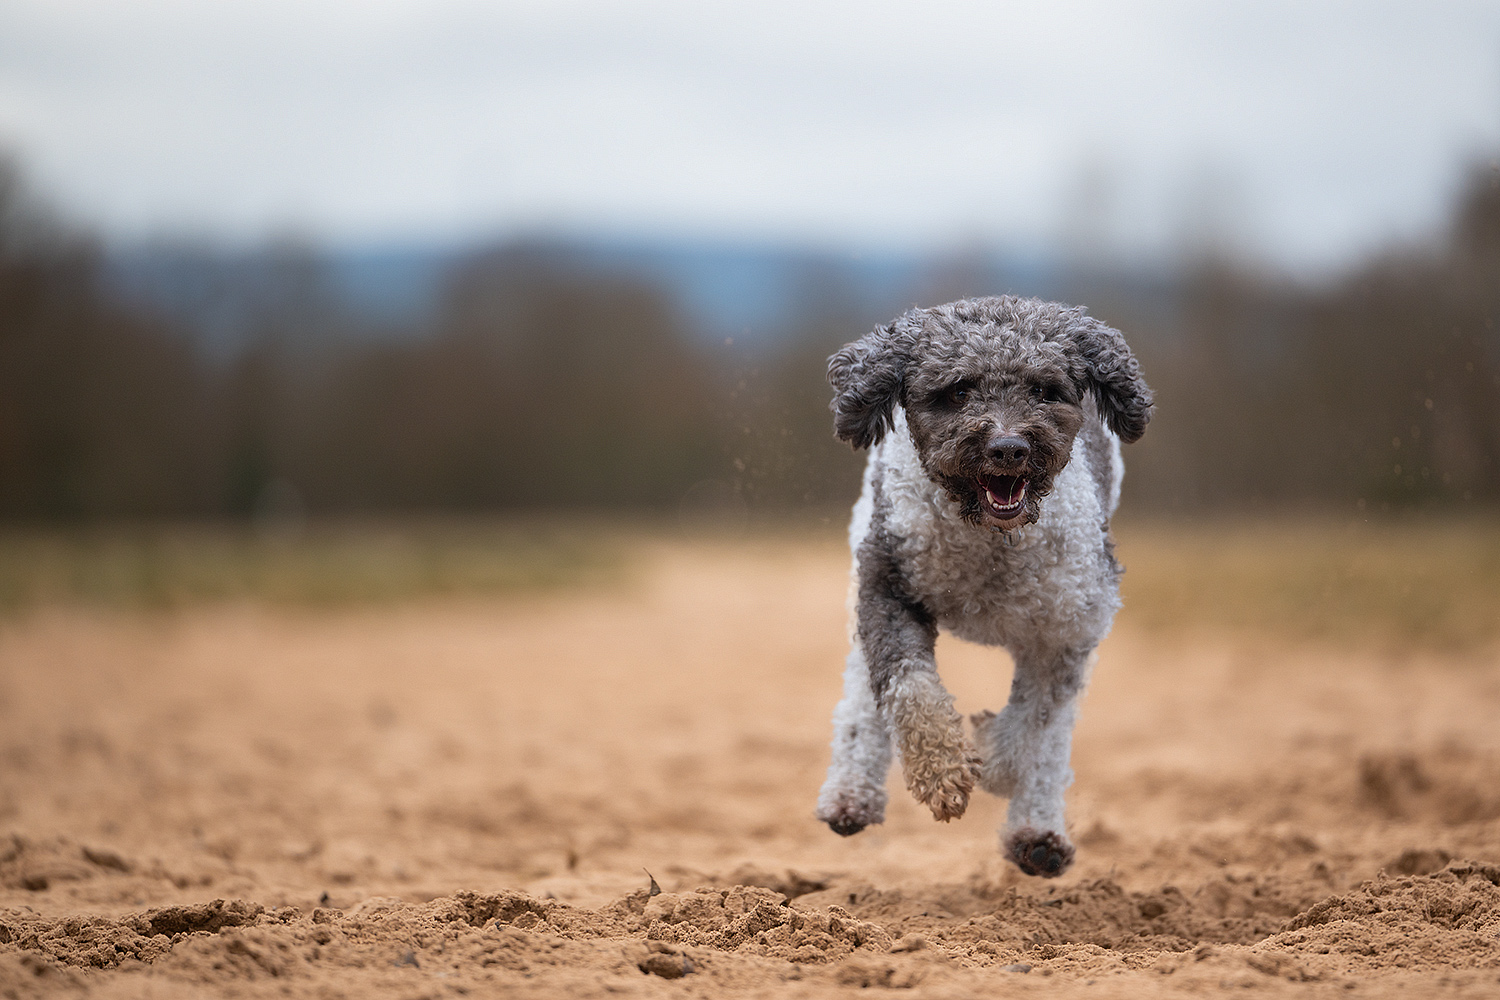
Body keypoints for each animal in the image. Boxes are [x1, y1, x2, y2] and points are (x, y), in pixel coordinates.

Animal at [816, 295, 1152, 875]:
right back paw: (850, 797)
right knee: (861, 691)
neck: (989, 542)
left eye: (1045, 390)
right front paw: (944, 773)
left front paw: (992, 755)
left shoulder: (1067, 631)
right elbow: (909, 690)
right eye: (957, 391)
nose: (1009, 447)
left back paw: (1038, 837)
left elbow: (1034, 726)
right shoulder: (887, 585)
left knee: (1051, 745)